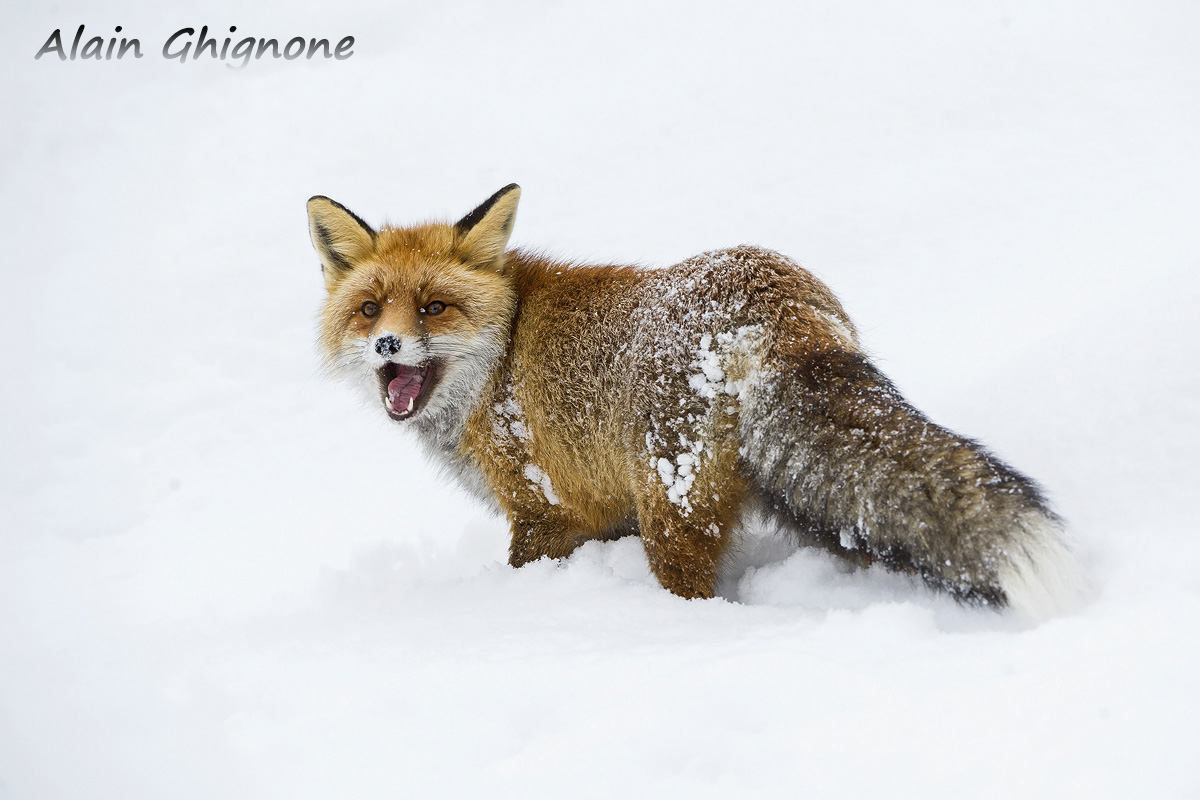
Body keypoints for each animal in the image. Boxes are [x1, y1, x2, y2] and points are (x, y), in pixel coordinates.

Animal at [307, 184, 1084, 617]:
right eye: (370, 310)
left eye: (434, 307)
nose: (388, 346)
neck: (500, 360)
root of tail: (773, 293)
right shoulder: (605, 510)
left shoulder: (547, 511)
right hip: (813, 496)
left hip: (674, 511)